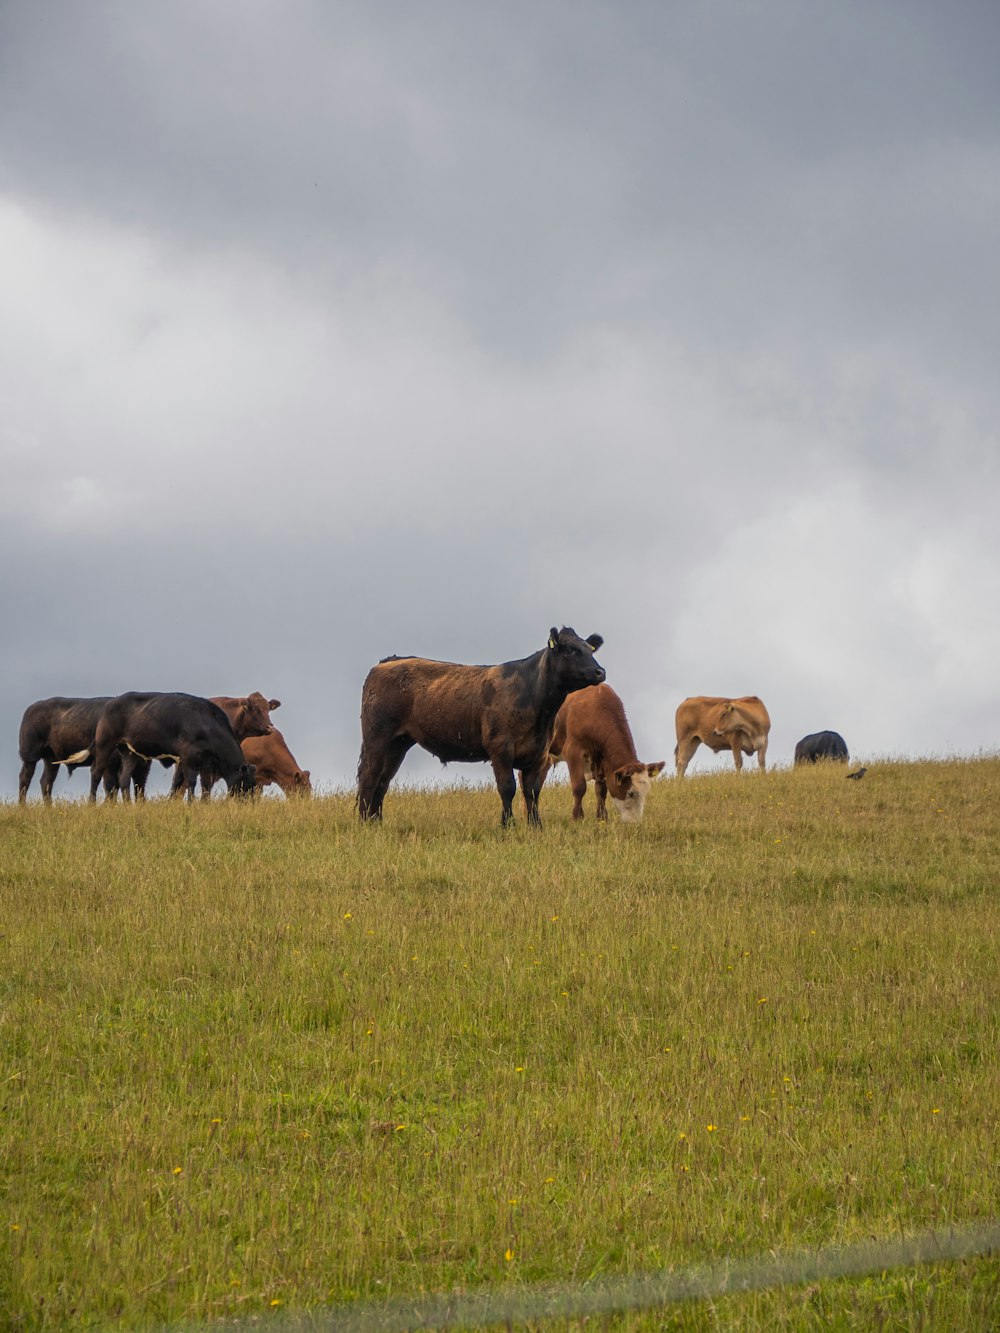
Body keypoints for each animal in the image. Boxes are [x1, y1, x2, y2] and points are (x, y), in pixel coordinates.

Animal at [93, 693, 256, 794]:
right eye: (247, 784)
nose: (247, 804)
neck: (208, 724)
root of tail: (111, 702)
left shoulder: (201, 762)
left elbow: (195, 784)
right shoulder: (189, 757)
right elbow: (190, 782)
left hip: (129, 752)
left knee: (124, 778)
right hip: (104, 745)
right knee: (96, 773)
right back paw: (92, 801)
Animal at [357, 623, 608, 821]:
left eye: (589, 649)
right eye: (571, 650)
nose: (600, 671)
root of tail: (386, 662)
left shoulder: (539, 753)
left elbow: (533, 791)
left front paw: (536, 826)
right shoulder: (500, 749)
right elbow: (508, 788)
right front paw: (508, 825)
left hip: (398, 743)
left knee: (383, 781)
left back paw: (376, 822)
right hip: (377, 737)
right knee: (369, 777)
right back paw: (364, 824)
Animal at [541, 687, 666, 821]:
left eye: (646, 791)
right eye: (631, 793)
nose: (636, 822)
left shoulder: (602, 762)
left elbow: (601, 791)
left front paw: (602, 817)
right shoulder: (573, 752)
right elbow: (579, 787)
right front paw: (577, 817)